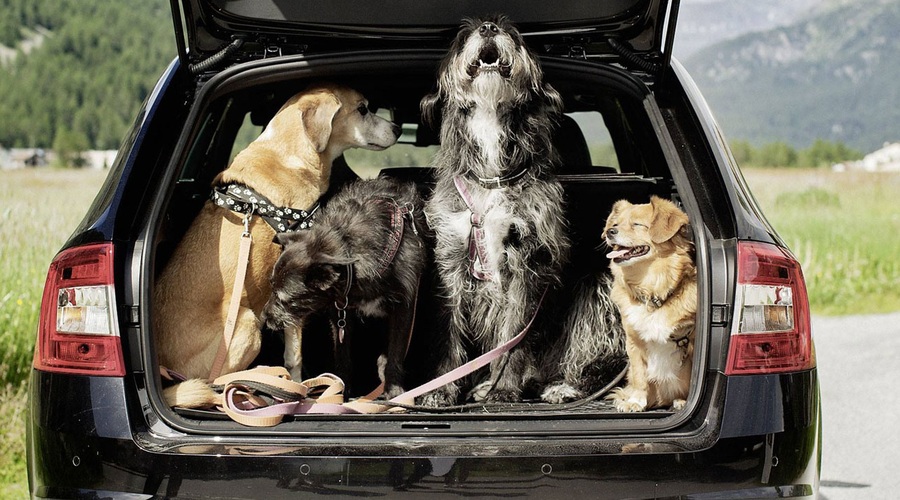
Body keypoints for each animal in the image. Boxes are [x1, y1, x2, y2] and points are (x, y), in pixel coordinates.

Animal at [153, 83, 400, 410]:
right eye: (362, 109)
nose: (398, 128)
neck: (289, 153)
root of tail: (166, 376)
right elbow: (294, 355)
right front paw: (298, 388)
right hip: (246, 323)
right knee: (221, 382)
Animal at [262, 177, 428, 398]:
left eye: (285, 298)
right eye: (271, 286)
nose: (264, 317)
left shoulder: (404, 308)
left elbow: (396, 350)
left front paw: (394, 390)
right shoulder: (339, 313)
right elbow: (342, 353)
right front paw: (340, 388)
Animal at [600, 194, 700, 410]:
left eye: (637, 224)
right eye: (615, 224)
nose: (611, 232)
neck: (651, 292)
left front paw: (686, 400)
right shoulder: (634, 342)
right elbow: (640, 377)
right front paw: (635, 402)